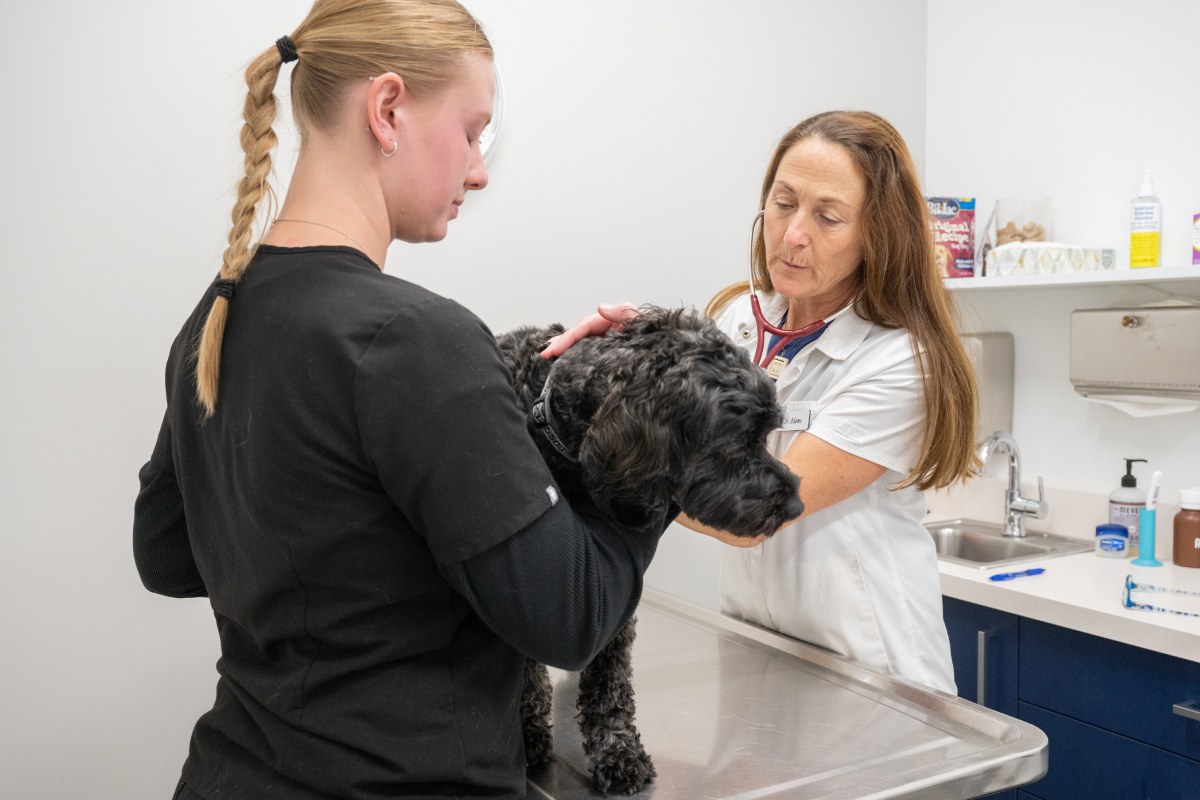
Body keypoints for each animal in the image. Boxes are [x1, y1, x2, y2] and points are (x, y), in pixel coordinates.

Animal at [496, 304, 806, 796]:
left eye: (766, 433)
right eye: (739, 439)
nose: (796, 504)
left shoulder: (615, 597)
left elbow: (610, 685)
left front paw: (617, 750)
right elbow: (525, 675)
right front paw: (528, 737)